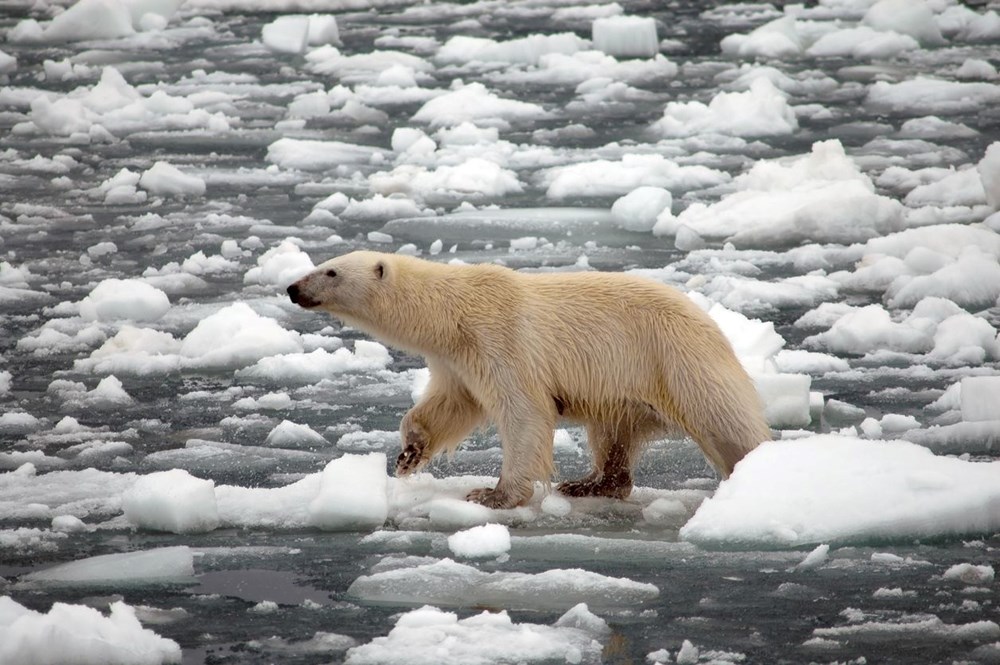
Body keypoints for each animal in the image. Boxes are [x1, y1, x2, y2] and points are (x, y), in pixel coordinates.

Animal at [286, 250, 768, 508]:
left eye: (330, 271)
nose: (293, 288)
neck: (453, 313)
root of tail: (713, 324)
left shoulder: (501, 339)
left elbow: (524, 412)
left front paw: (492, 494)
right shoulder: (457, 360)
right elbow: (450, 405)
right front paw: (408, 454)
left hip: (674, 358)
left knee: (725, 422)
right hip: (625, 387)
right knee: (613, 430)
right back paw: (590, 483)